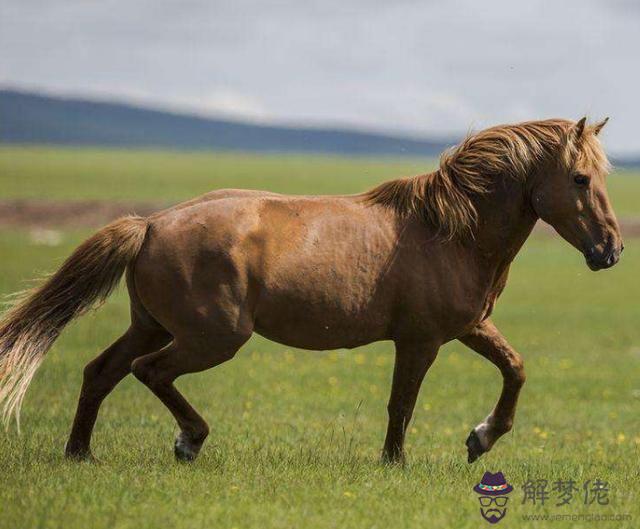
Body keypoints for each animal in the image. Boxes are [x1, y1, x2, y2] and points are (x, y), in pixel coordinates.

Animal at [0, 116, 624, 462]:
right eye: (580, 178)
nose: (611, 250)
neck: (451, 231)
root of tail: (150, 223)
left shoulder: (469, 327)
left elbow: (515, 369)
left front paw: (480, 440)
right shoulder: (420, 340)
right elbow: (402, 404)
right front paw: (394, 465)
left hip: (150, 324)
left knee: (101, 372)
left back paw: (80, 454)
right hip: (214, 337)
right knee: (147, 372)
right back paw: (189, 441)